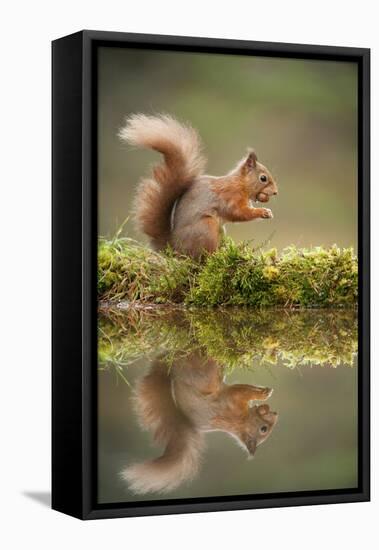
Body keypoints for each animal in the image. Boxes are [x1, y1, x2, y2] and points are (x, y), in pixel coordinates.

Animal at [119, 115, 280, 260]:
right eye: (263, 178)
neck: (240, 184)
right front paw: (263, 212)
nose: (275, 192)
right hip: (207, 227)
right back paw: (216, 256)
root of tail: (176, 249)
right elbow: (238, 213)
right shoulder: (230, 197)